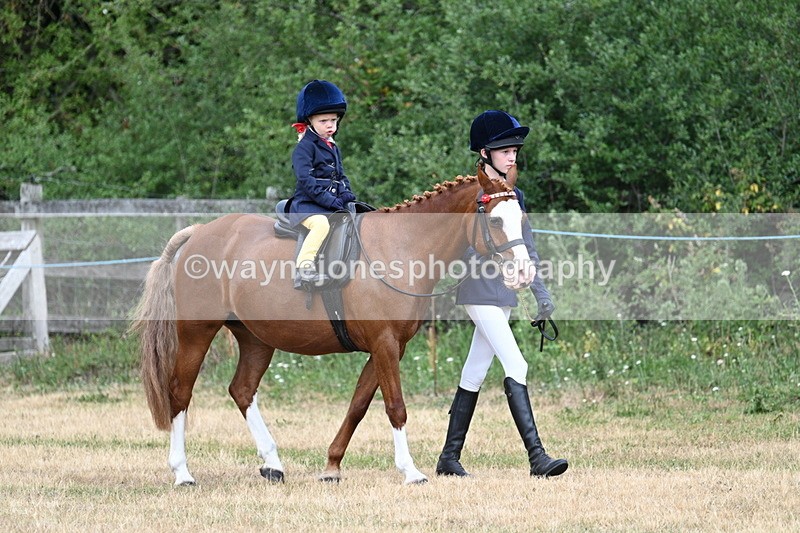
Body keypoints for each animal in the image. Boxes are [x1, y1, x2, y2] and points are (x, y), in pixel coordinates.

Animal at [131, 164, 536, 485]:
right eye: (495, 220)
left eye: (522, 219)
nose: (523, 273)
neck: (402, 246)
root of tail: (199, 232)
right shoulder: (385, 344)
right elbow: (395, 407)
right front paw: (410, 471)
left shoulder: (387, 348)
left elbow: (358, 406)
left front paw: (332, 466)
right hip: (196, 333)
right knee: (180, 393)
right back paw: (182, 473)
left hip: (256, 339)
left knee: (242, 390)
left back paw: (273, 464)